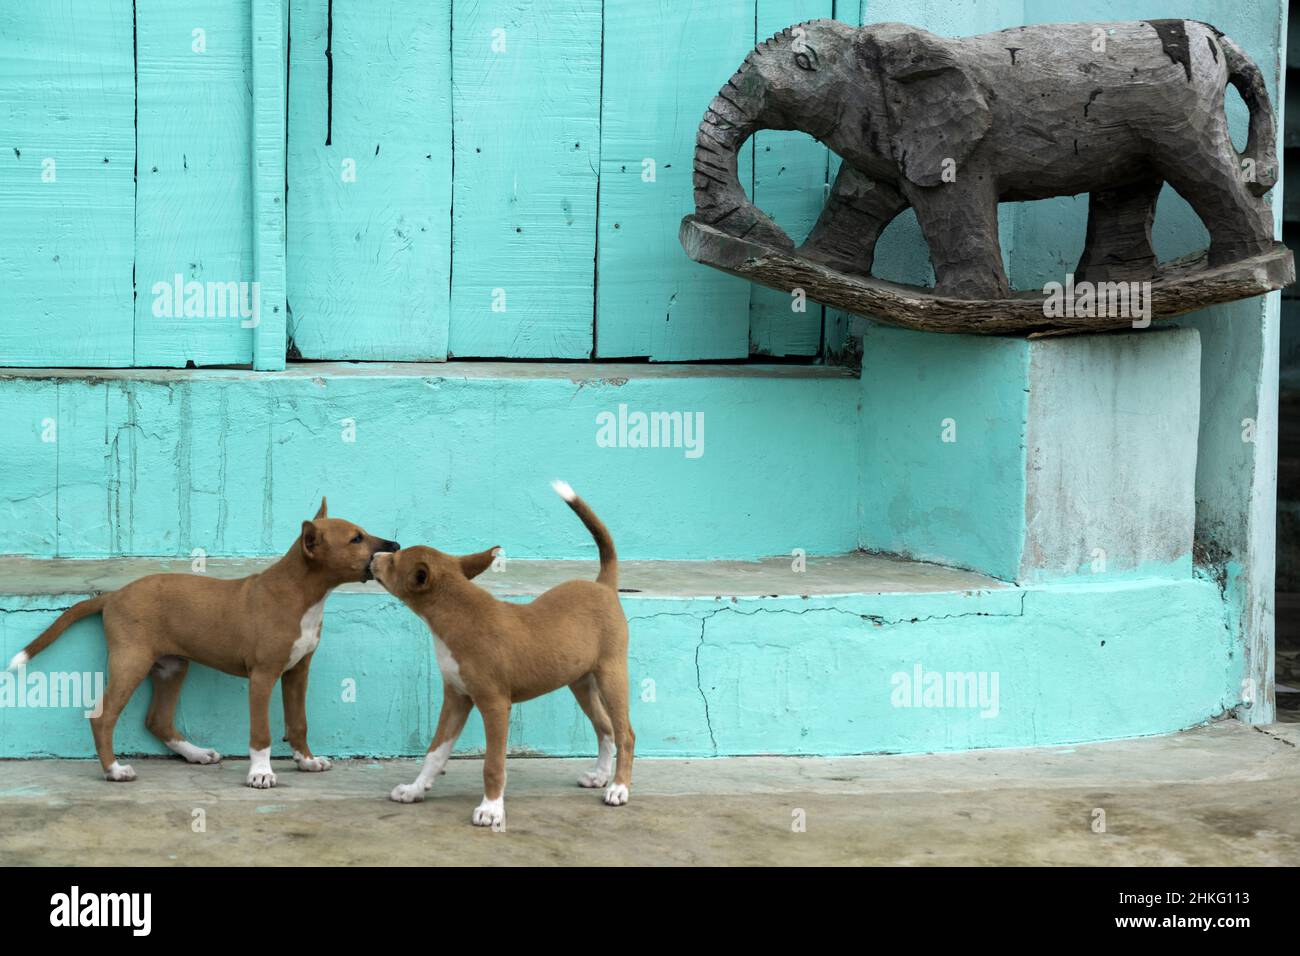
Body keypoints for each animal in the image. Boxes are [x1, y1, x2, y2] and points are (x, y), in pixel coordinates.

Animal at [6, 496, 395, 790]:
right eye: (356, 539)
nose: (395, 546)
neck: (302, 594)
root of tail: (113, 596)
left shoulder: (297, 671)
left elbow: (298, 721)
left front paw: (307, 760)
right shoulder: (262, 676)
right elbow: (262, 733)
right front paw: (261, 773)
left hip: (172, 666)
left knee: (157, 720)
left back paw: (195, 753)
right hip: (131, 661)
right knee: (102, 716)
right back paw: (114, 770)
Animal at [371, 481, 634, 827]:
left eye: (392, 563)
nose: (374, 556)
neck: (459, 616)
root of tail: (603, 585)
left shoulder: (495, 704)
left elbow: (493, 764)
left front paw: (491, 808)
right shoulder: (456, 698)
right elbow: (435, 752)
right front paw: (415, 789)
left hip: (611, 674)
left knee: (624, 733)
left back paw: (619, 788)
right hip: (581, 682)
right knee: (605, 728)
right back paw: (600, 776)